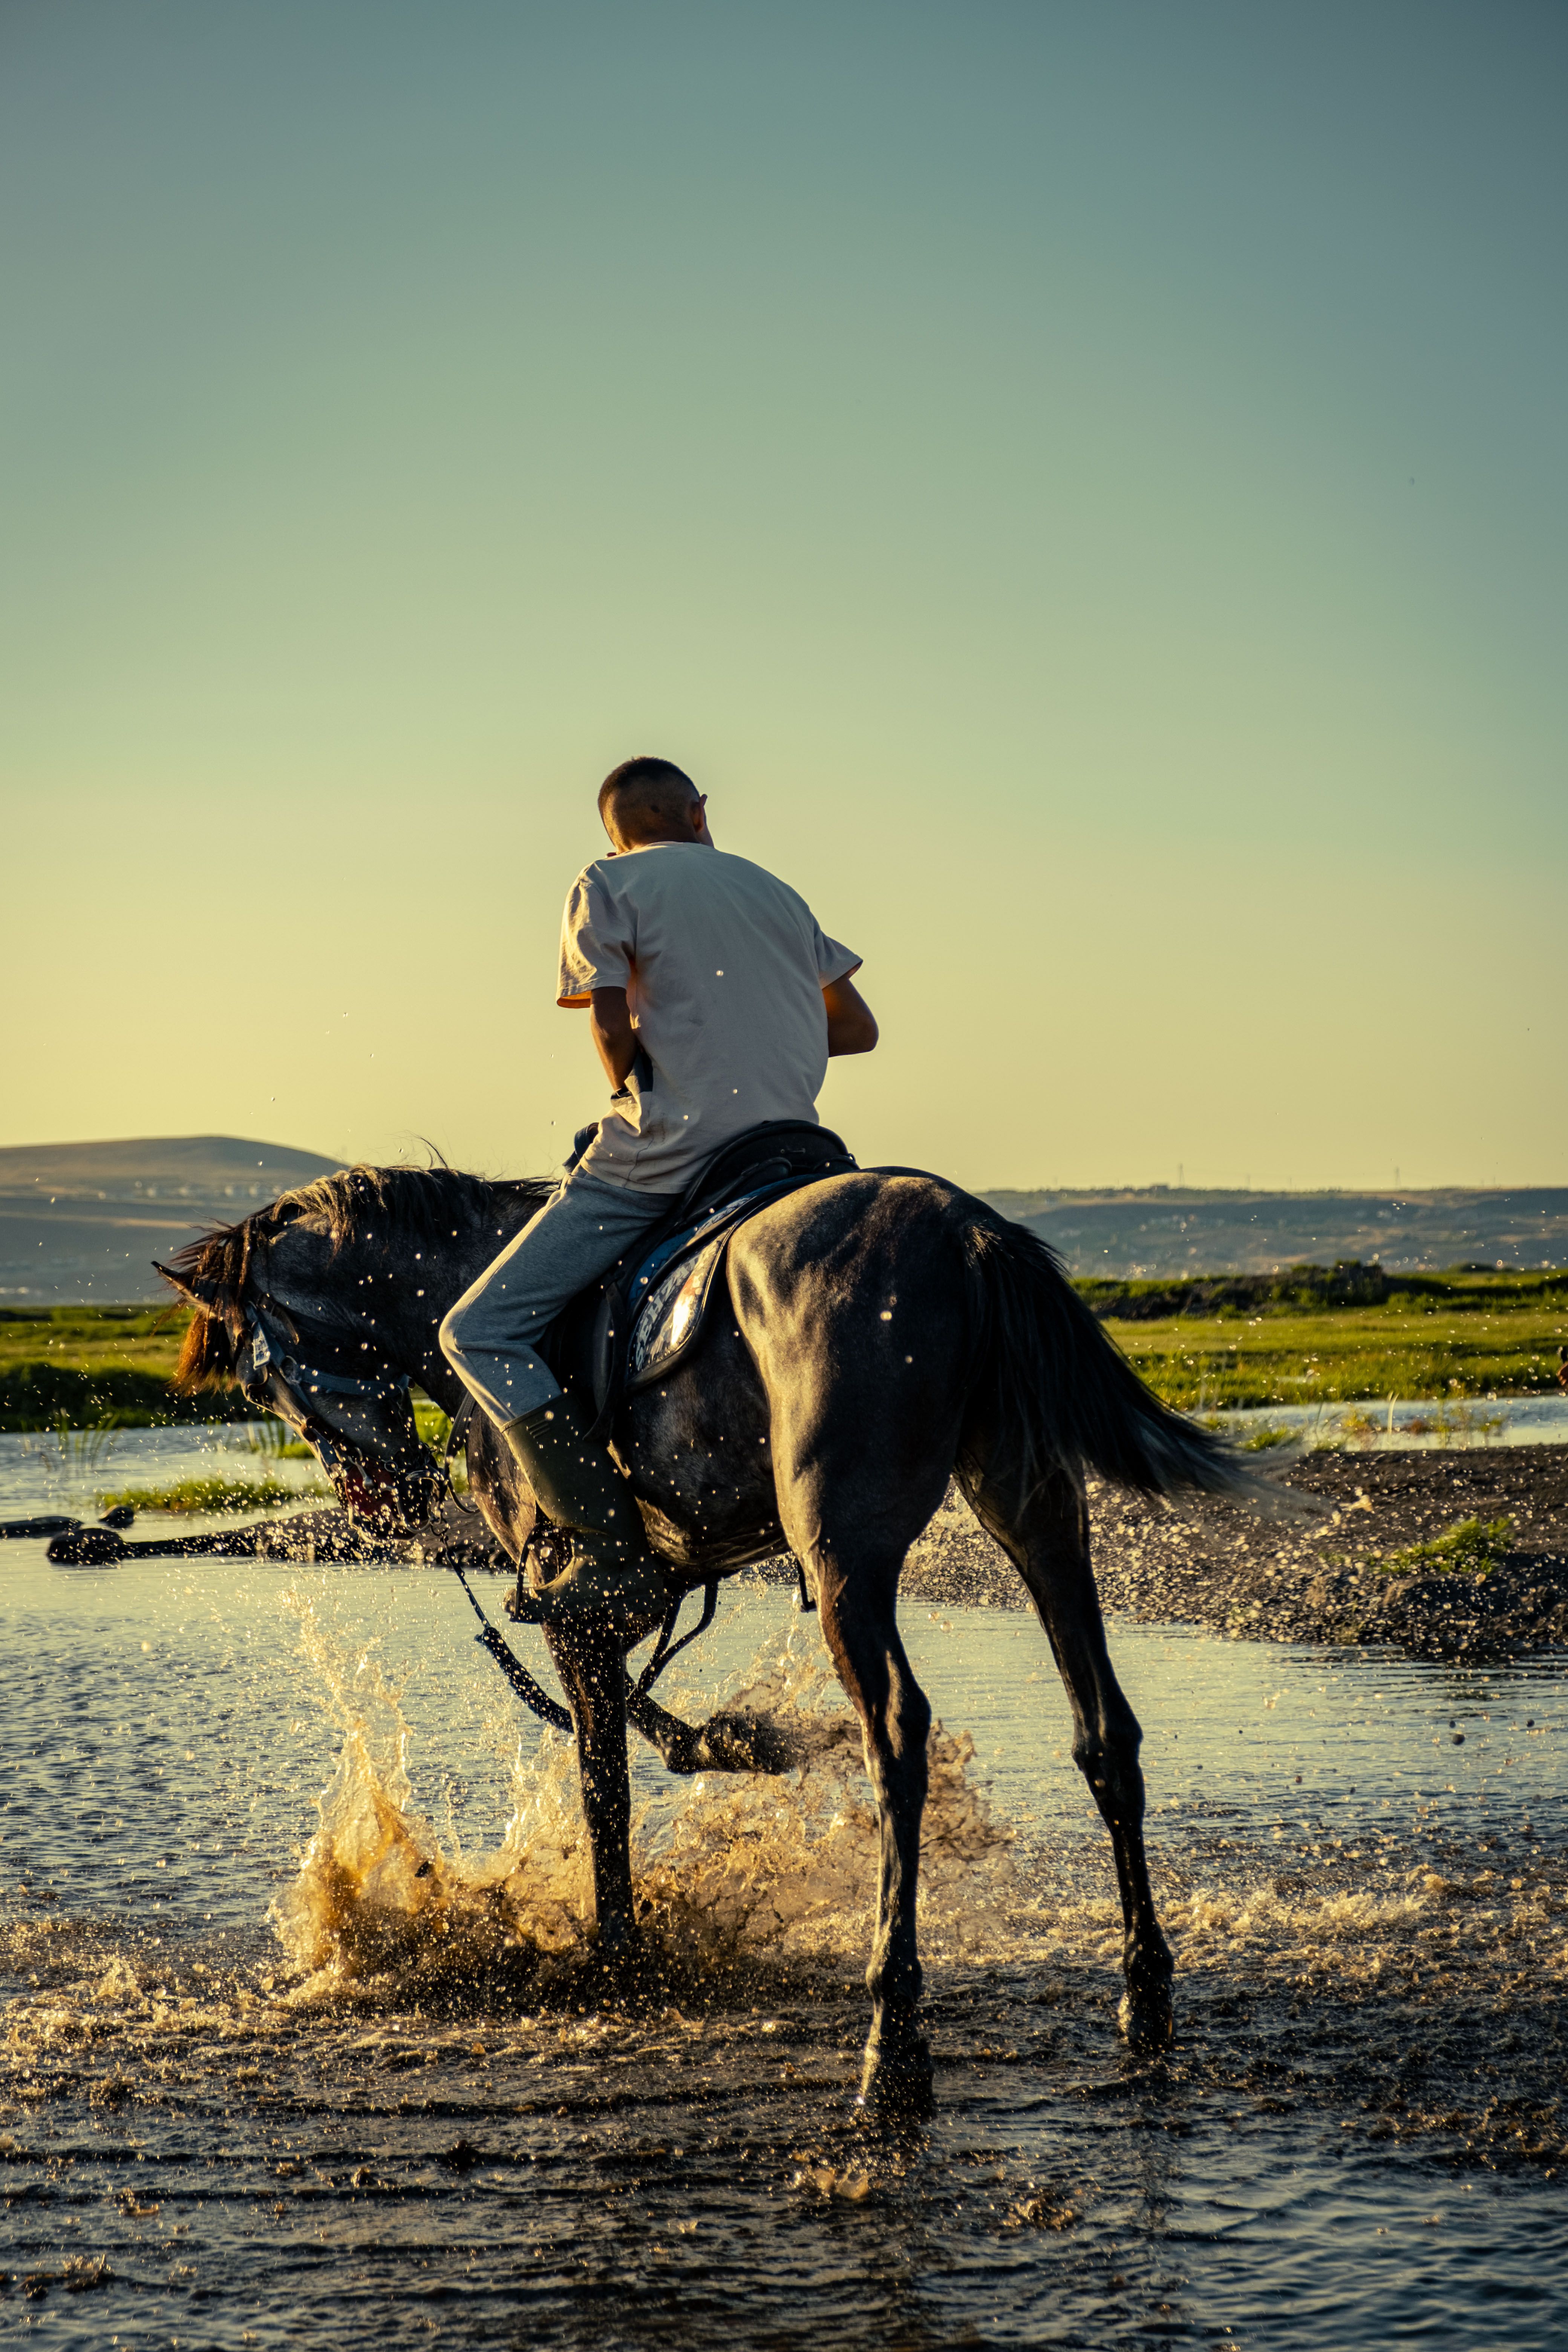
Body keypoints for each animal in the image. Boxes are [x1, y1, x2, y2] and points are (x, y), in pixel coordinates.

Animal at [159, 1158, 1256, 2111]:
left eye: (254, 1382)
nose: (381, 1500)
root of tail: (962, 1228)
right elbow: (644, 1745)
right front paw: (735, 1749)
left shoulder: (581, 1612)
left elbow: (604, 1791)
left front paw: (615, 1960)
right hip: (1035, 1512)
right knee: (1104, 1732)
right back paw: (1144, 1999)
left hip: (845, 1549)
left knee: (898, 1739)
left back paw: (893, 2042)